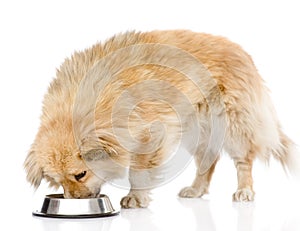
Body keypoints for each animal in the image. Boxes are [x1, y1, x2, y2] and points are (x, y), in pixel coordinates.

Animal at [24, 29, 298, 208]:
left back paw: (244, 190)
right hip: (196, 129)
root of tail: (241, 51)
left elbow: (138, 172)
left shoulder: (149, 136)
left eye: (80, 175)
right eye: (56, 180)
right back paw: (196, 190)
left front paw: (136, 197)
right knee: (208, 161)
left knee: (243, 161)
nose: (74, 200)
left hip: (233, 126)